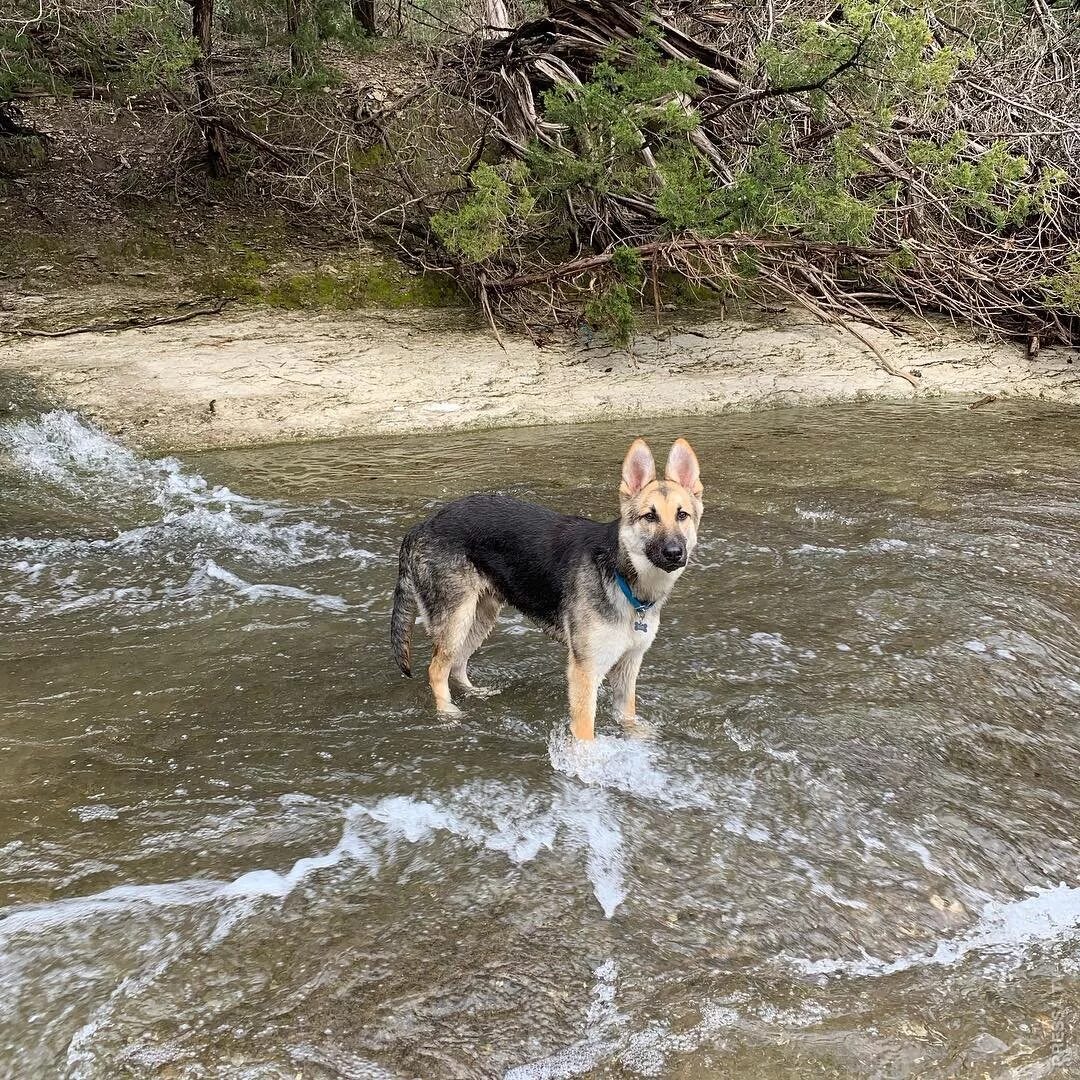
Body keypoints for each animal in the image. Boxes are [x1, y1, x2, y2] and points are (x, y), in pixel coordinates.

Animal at [393, 434, 704, 738]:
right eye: (650, 516)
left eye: (682, 515)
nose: (674, 553)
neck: (623, 577)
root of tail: (423, 525)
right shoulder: (585, 671)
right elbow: (585, 731)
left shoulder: (628, 667)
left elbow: (627, 716)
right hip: (457, 619)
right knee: (437, 669)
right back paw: (448, 713)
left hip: (480, 616)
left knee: (457, 665)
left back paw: (477, 694)